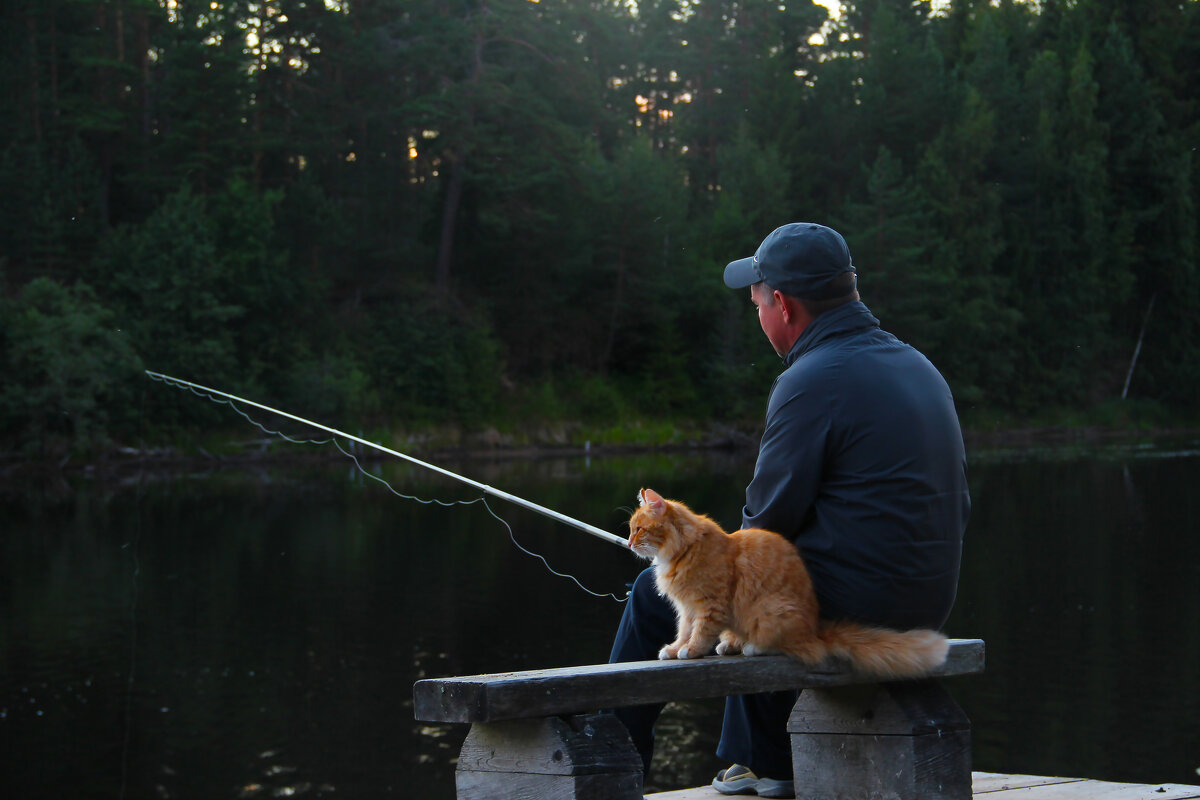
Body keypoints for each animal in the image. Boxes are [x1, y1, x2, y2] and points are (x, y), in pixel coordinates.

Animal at [628, 484, 945, 681]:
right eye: (630, 530)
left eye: (639, 529)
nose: (629, 543)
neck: (681, 551)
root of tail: (816, 629)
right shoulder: (686, 609)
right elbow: (683, 632)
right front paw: (674, 649)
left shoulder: (709, 605)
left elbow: (699, 634)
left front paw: (691, 651)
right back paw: (732, 644)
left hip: (772, 611)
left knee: (797, 648)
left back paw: (753, 646)